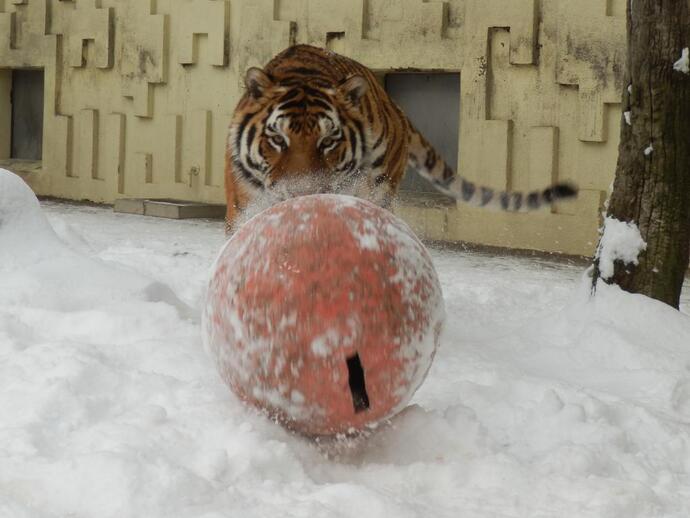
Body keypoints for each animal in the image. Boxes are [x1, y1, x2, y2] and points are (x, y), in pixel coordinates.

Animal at [223, 44, 572, 232]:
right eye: (277, 139)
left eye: (329, 141)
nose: (302, 194)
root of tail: (397, 110)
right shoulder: (244, 204)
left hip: (380, 185)